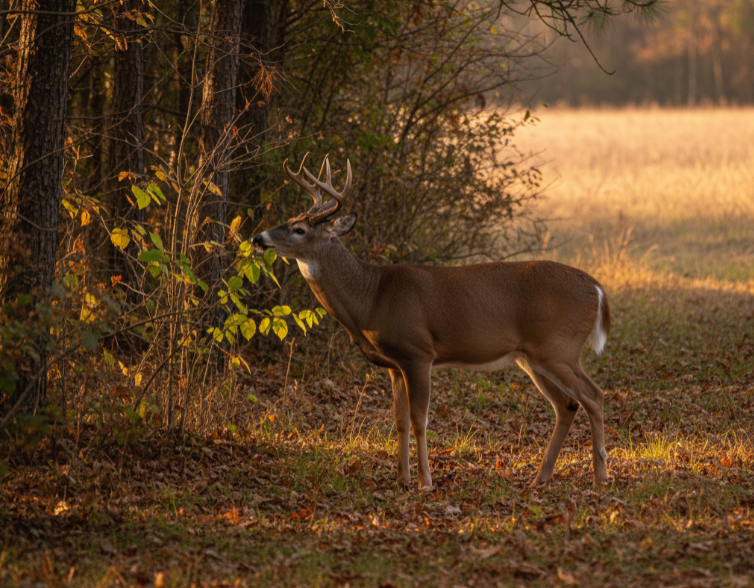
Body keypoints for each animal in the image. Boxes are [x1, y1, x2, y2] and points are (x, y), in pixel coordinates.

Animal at [252, 154, 612, 490]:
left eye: (299, 229)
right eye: (289, 220)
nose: (258, 238)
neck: (371, 297)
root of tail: (598, 289)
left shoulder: (418, 352)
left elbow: (419, 420)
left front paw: (425, 481)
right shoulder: (395, 365)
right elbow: (399, 420)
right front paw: (402, 478)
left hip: (558, 348)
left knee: (594, 395)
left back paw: (600, 476)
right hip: (533, 358)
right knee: (567, 405)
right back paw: (541, 477)